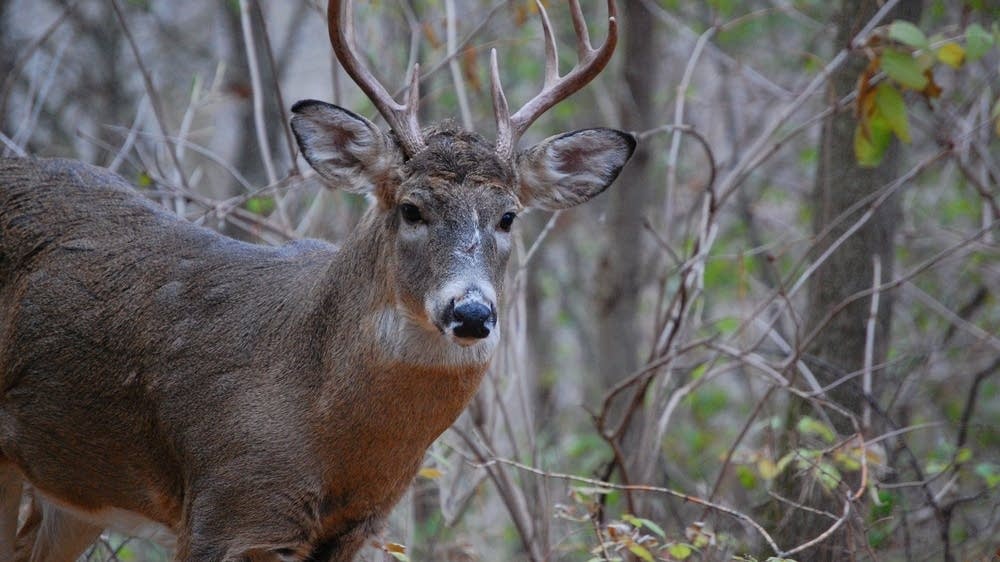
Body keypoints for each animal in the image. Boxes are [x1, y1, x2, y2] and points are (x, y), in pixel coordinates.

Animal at [0, 0, 634, 560]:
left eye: (508, 216)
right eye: (411, 208)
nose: (472, 312)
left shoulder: (354, 527)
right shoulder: (223, 506)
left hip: (74, 488)